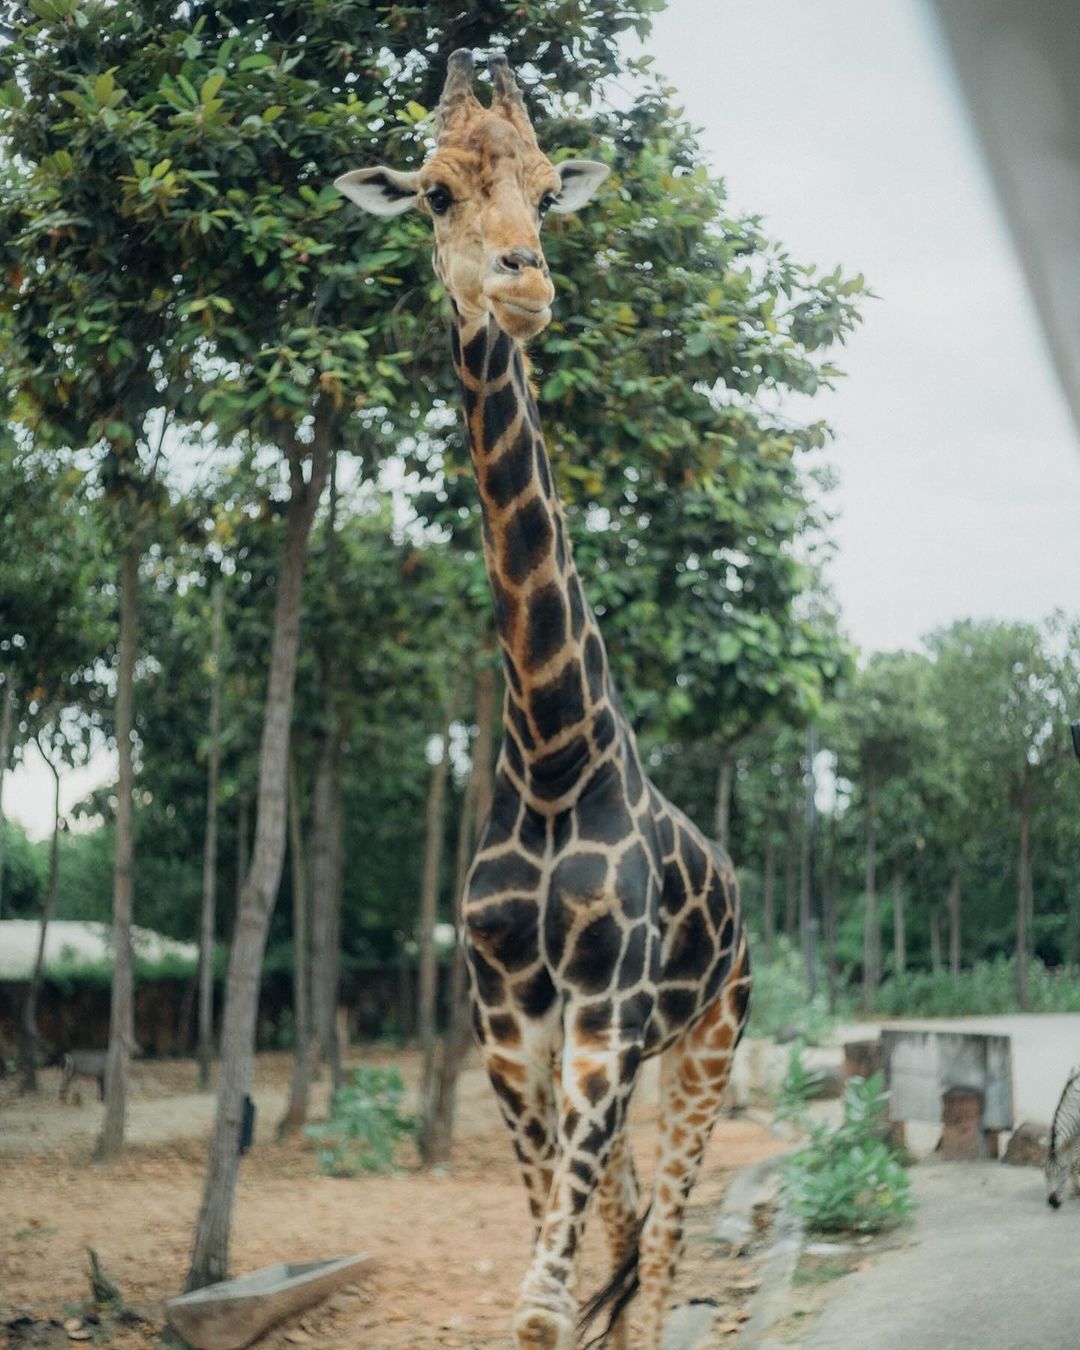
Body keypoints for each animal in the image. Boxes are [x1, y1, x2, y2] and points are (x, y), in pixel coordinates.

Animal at [337, 47, 750, 1344]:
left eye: (546, 188)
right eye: (433, 193)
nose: (525, 285)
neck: (555, 748)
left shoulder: (609, 1015)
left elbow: (545, 1301)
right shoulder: (509, 1028)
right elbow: (553, 1289)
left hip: (714, 1037)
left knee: (663, 1241)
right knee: (631, 1226)